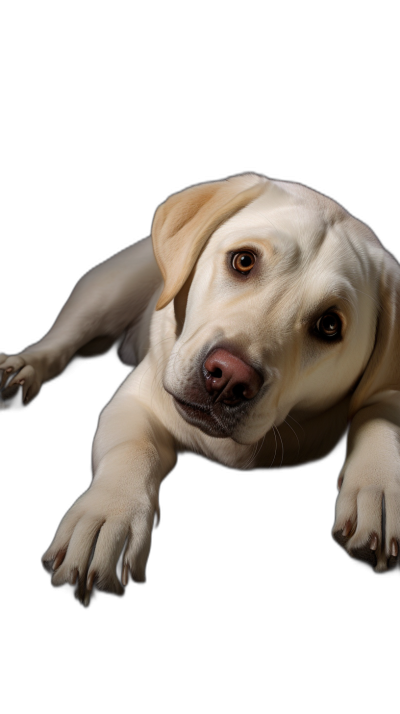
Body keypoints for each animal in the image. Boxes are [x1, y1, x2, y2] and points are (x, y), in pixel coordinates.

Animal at [0, 174, 400, 600]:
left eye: (329, 325)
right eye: (244, 260)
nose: (229, 377)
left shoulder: (389, 390)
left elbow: (378, 412)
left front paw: (378, 485)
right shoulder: (132, 401)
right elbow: (134, 448)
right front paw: (108, 514)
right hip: (103, 295)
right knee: (60, 344)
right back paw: (22, 370)